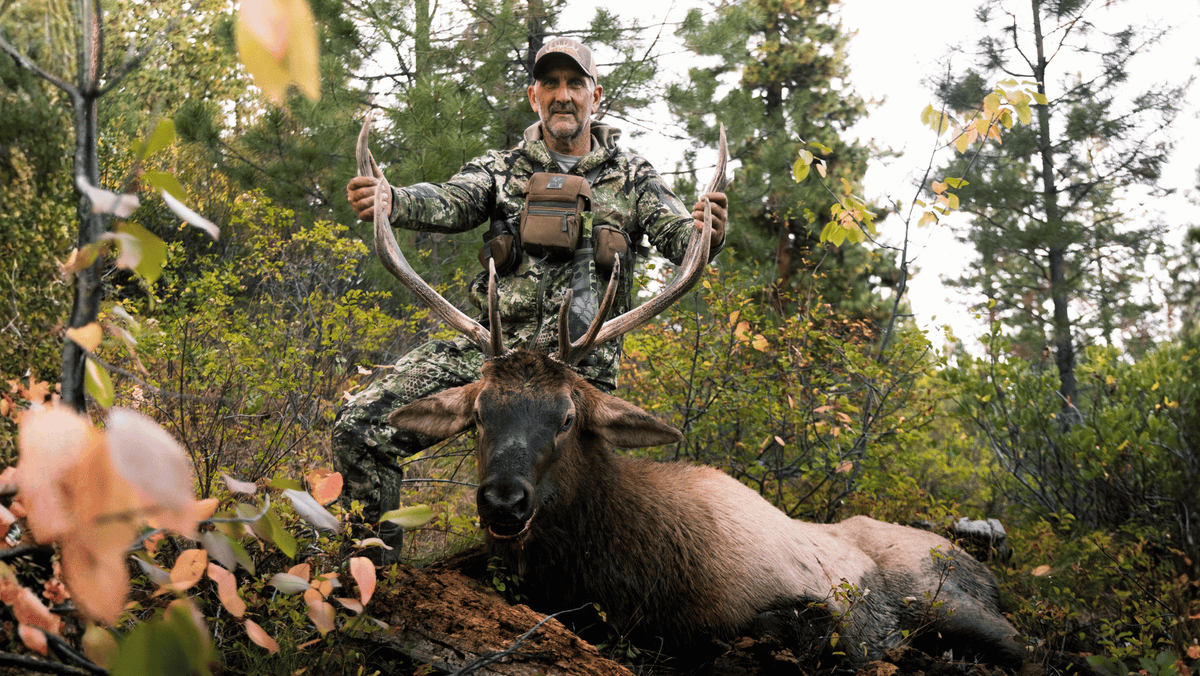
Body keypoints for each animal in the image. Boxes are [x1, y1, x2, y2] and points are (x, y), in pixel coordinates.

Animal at [359, 118, 1027, 667]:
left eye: (569, 416)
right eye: (478, 414)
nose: (503, 500)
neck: (613, 574)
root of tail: (976, 560)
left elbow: (795, 626)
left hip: (951, 601)